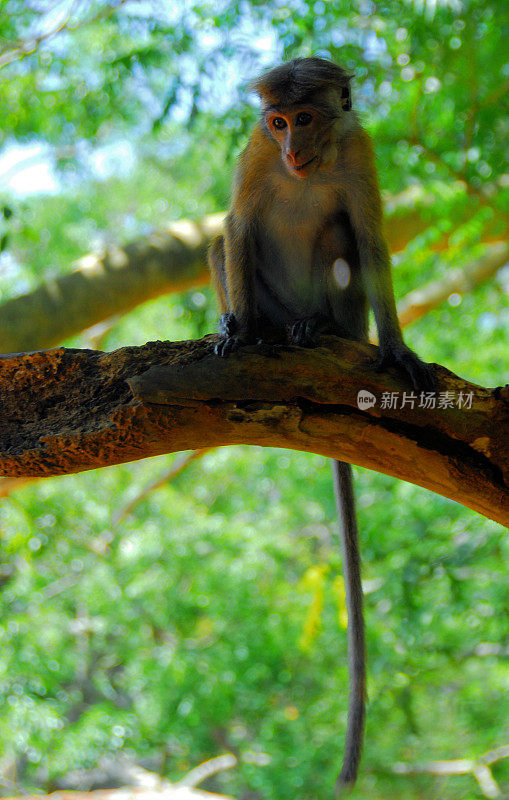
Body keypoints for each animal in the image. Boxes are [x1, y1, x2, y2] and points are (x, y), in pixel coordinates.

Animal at [205, 57, 432, 792]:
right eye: (276, 121)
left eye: (305, 118)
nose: (289, 148)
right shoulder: (253, 157)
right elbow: (237, 225)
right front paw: (235, 331)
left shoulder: (358, 152)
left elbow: (369, 239)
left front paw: (398, 348)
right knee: (222, 240)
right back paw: (262, 328)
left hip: (344, 307)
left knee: (341, 238)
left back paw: (321, 329)